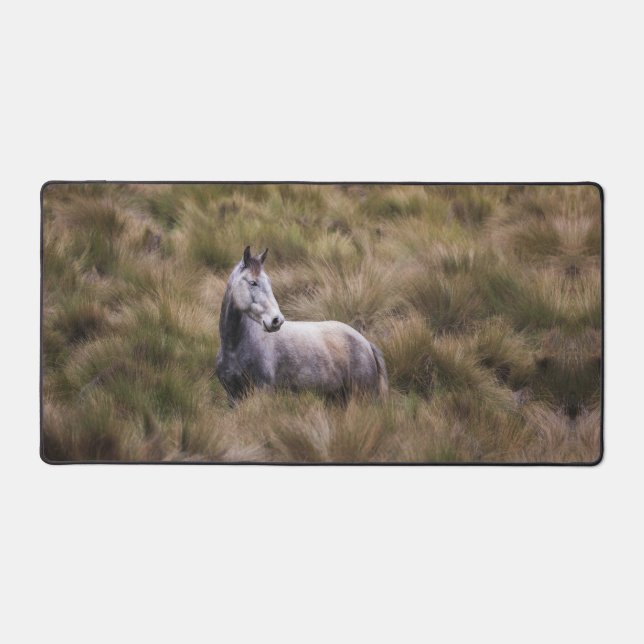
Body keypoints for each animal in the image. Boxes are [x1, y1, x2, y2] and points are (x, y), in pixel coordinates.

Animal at [215, 246, 388, 403]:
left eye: (269, 282)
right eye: (253, 283)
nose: (276, 320)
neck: (234, 348)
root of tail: (366, 343)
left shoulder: (263, 390)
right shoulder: (233, 396)